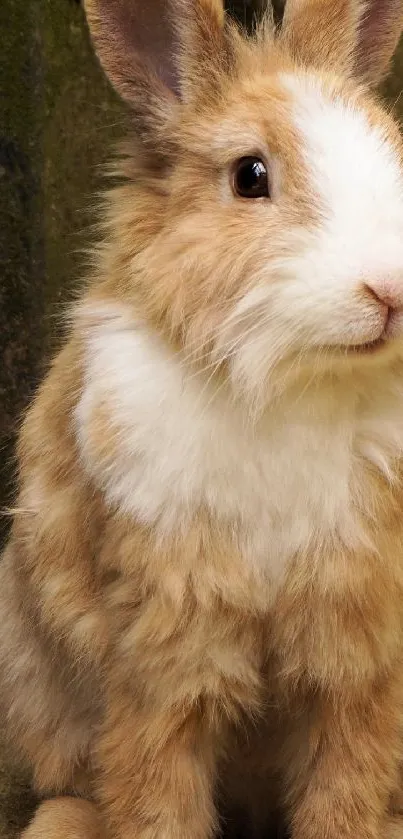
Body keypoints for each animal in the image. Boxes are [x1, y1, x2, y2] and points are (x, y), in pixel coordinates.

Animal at [3, 0, 403, 836]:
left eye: (392, 148)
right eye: (250, 175)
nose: (388, 288)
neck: (288, 383)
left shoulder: (356, 645)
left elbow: (345, 781)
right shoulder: (164, 643)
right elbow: (157, 785)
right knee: (69, 785)